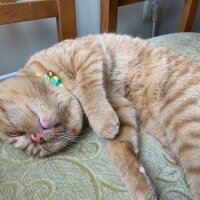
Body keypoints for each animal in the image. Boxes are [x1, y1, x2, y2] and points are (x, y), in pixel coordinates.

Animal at [0, 33, 200, 199]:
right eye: (40, 148)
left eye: (14, 133)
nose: (37, 137)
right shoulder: (120, 106)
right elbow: (122, 153)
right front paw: (141, 184)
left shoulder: (87, 52)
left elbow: (88, 88)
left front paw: (101, 119)